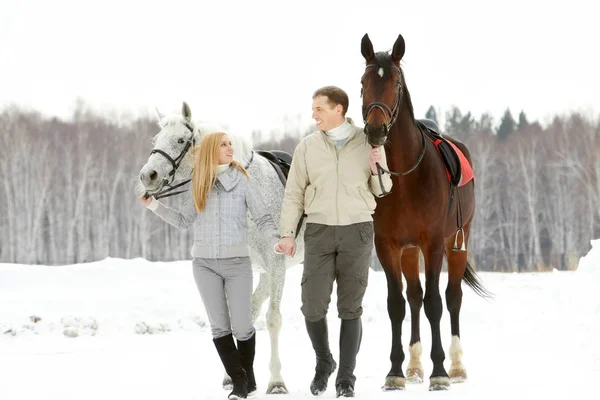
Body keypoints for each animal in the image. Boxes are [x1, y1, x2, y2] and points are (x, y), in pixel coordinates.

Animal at [137, 102, 304, 394]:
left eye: (180, 140)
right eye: (156, 141)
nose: (148, 175)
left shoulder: (277, 265)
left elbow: (273, 319)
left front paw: (276, 381)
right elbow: (232, 319)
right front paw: (232, 376)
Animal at [358, 34, 490, 390]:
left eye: (396, 82)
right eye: (363, 83)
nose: (375, 131)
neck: (407, 176)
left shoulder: (432, 243)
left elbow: (435, 303)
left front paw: (440, 371)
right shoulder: (387, 246)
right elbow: (397, 304)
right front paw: (395, 371)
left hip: (457, 240)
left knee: (452, 297)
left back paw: (456, 367)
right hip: (408, 250)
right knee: (414, 297)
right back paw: (415, 366)